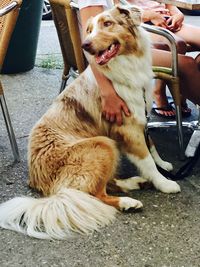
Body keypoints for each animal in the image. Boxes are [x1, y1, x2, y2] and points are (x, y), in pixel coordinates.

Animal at [0, 5, 181, 241]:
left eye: (108, 23)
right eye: (89, 30)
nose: (85, 45)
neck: (125, 64)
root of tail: (40, 183)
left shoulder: (141, 116)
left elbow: (151, 145)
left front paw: (164, 164)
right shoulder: (128, 128)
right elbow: (146, 160)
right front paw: (165, 183)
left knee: (104, 185)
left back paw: (135, 183)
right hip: (102, 144)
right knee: (95, 193)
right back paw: (128, 202)